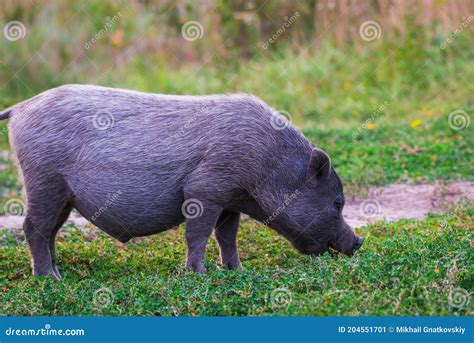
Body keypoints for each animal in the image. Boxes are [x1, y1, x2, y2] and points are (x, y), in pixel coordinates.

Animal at [0, 85, 364, 280]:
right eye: (337, 202)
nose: (359, 242)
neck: (268, 164)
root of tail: (21, 106)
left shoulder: (230, 200)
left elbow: (227, 236)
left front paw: (236, 271)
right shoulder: (205, 187)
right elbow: (199, 234)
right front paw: (199, 274)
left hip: (61, 194)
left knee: (50, 231)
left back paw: (57, 272)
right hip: (44, 180)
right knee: (33, 227)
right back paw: (48, 278)